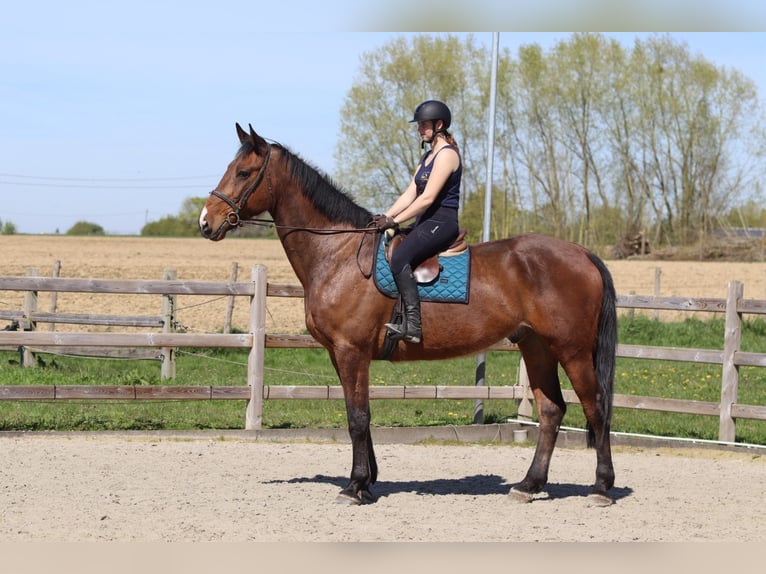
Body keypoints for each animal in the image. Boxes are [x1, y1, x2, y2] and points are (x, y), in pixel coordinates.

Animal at [199, 123, 618, 506]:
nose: (205, 221)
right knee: (551, 410)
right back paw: (529, 485)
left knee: (595, 407)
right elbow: (361, 414)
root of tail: (583, 254)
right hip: (537, 346)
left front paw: (355, 486)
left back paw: (601, 487)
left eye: (243, 172)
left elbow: (357, 418)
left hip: (572, 350)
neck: (338, 255)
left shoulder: (351, 351)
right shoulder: (340, 354)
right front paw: (368, 481)